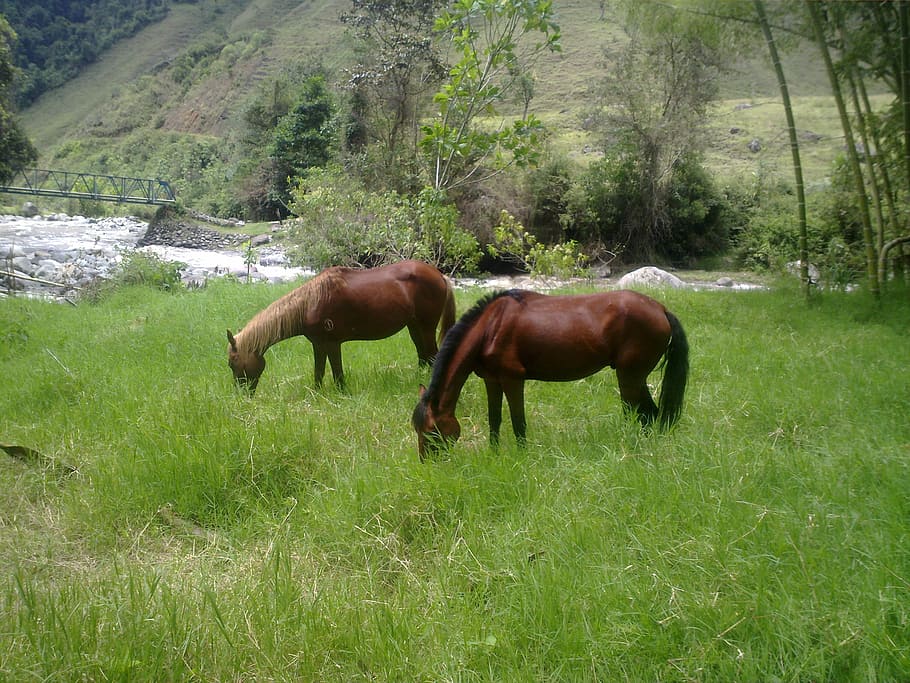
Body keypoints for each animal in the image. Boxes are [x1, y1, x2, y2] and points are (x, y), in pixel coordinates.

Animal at [227, 260, 456, 394]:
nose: (242, 395)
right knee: (423, 356)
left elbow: (337, 373)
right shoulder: (319, 344)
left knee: (432, 355)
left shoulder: (332, 343)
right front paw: (317, 394)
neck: (309, 303)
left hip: (426, 327)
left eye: (232, 362)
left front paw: (342, 394)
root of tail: (439, 275)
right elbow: (319, 372)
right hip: (414, 327)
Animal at [411, 288, 689, 460]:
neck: (490, 327)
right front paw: (494, 454)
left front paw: (521, 456)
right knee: (649, 415)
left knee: (641, 414)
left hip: (630, 377)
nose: (428, 463)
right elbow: (495, 420)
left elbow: (518, 422)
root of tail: (660, 309)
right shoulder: (492, 380)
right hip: (635, 378)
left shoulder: (513, 379)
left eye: (432, 431)